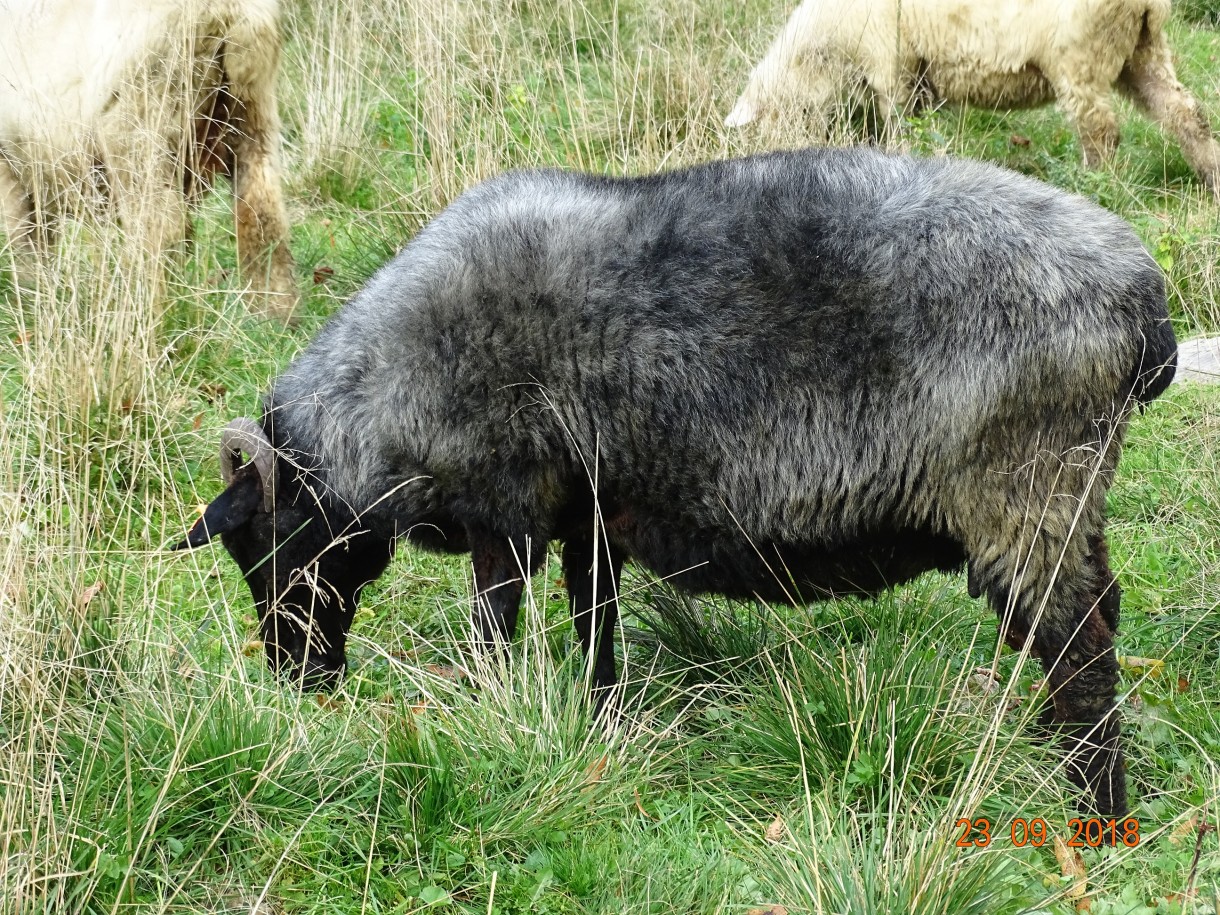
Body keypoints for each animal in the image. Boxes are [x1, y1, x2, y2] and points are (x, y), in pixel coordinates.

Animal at [0, 0, 295, 314]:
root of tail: (227, 13)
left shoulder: (12, 162)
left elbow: (25, 238)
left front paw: (30, 300)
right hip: (251, 112)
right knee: (262, 214)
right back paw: (274, 312)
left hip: (142, 123)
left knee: (160, 227)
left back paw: (144, 307)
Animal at [176, 148, 1176, 814]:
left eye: (258, 539)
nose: (298, 678)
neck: (380, 401)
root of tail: (1144, 305)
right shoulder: (587, 513)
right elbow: (595, 623)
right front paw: (601, 725)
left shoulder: (506, 505)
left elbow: (495, 630)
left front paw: (496, 714)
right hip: (1069, 497)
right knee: (1096, 616)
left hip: (1026, 492)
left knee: (1080, 647)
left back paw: (1096, 813)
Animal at [722, 0, 1220, 200]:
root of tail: (1146, 5)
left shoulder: (892, 63)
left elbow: (899, 124)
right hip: (1142, 50)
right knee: (1185, 112)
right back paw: (1210, 176)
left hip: (1081, 54)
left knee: (1101, 130)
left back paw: (1095, 183)